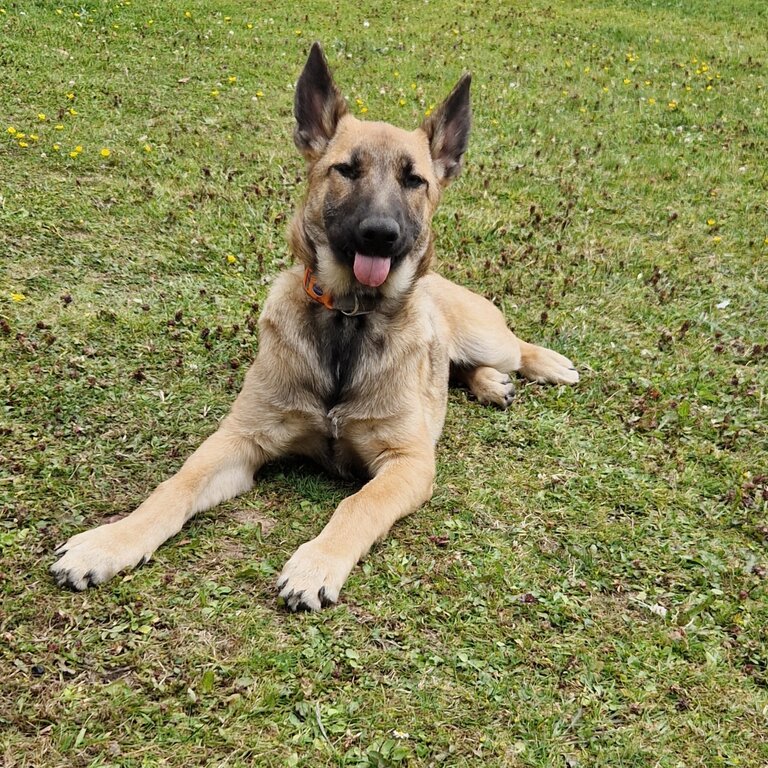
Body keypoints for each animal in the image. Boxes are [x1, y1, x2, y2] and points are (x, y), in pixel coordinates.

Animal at [51, 43, 580, 612]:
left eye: (414, 180)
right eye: (346, 169)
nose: (380, 234)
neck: (347, 317)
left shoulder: (409, 463)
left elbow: (357, 505)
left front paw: (317, 563)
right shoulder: (239, 440)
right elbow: (175, 485)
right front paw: (110, 541)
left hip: (487, 336)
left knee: (511, 347)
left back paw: (544, 365)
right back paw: (490, 385)